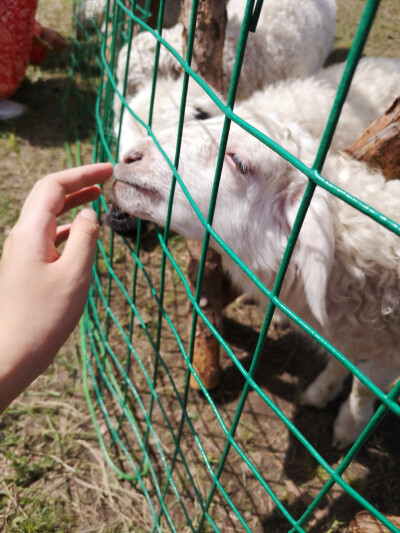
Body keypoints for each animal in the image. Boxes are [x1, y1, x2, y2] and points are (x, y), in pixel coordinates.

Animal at [111, 106, 400, 446]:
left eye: (239, 161)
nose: (131, 156)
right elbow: (339, 363)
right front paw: (321, 391)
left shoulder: (387, 355)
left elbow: (362, 389)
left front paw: (349, 425)